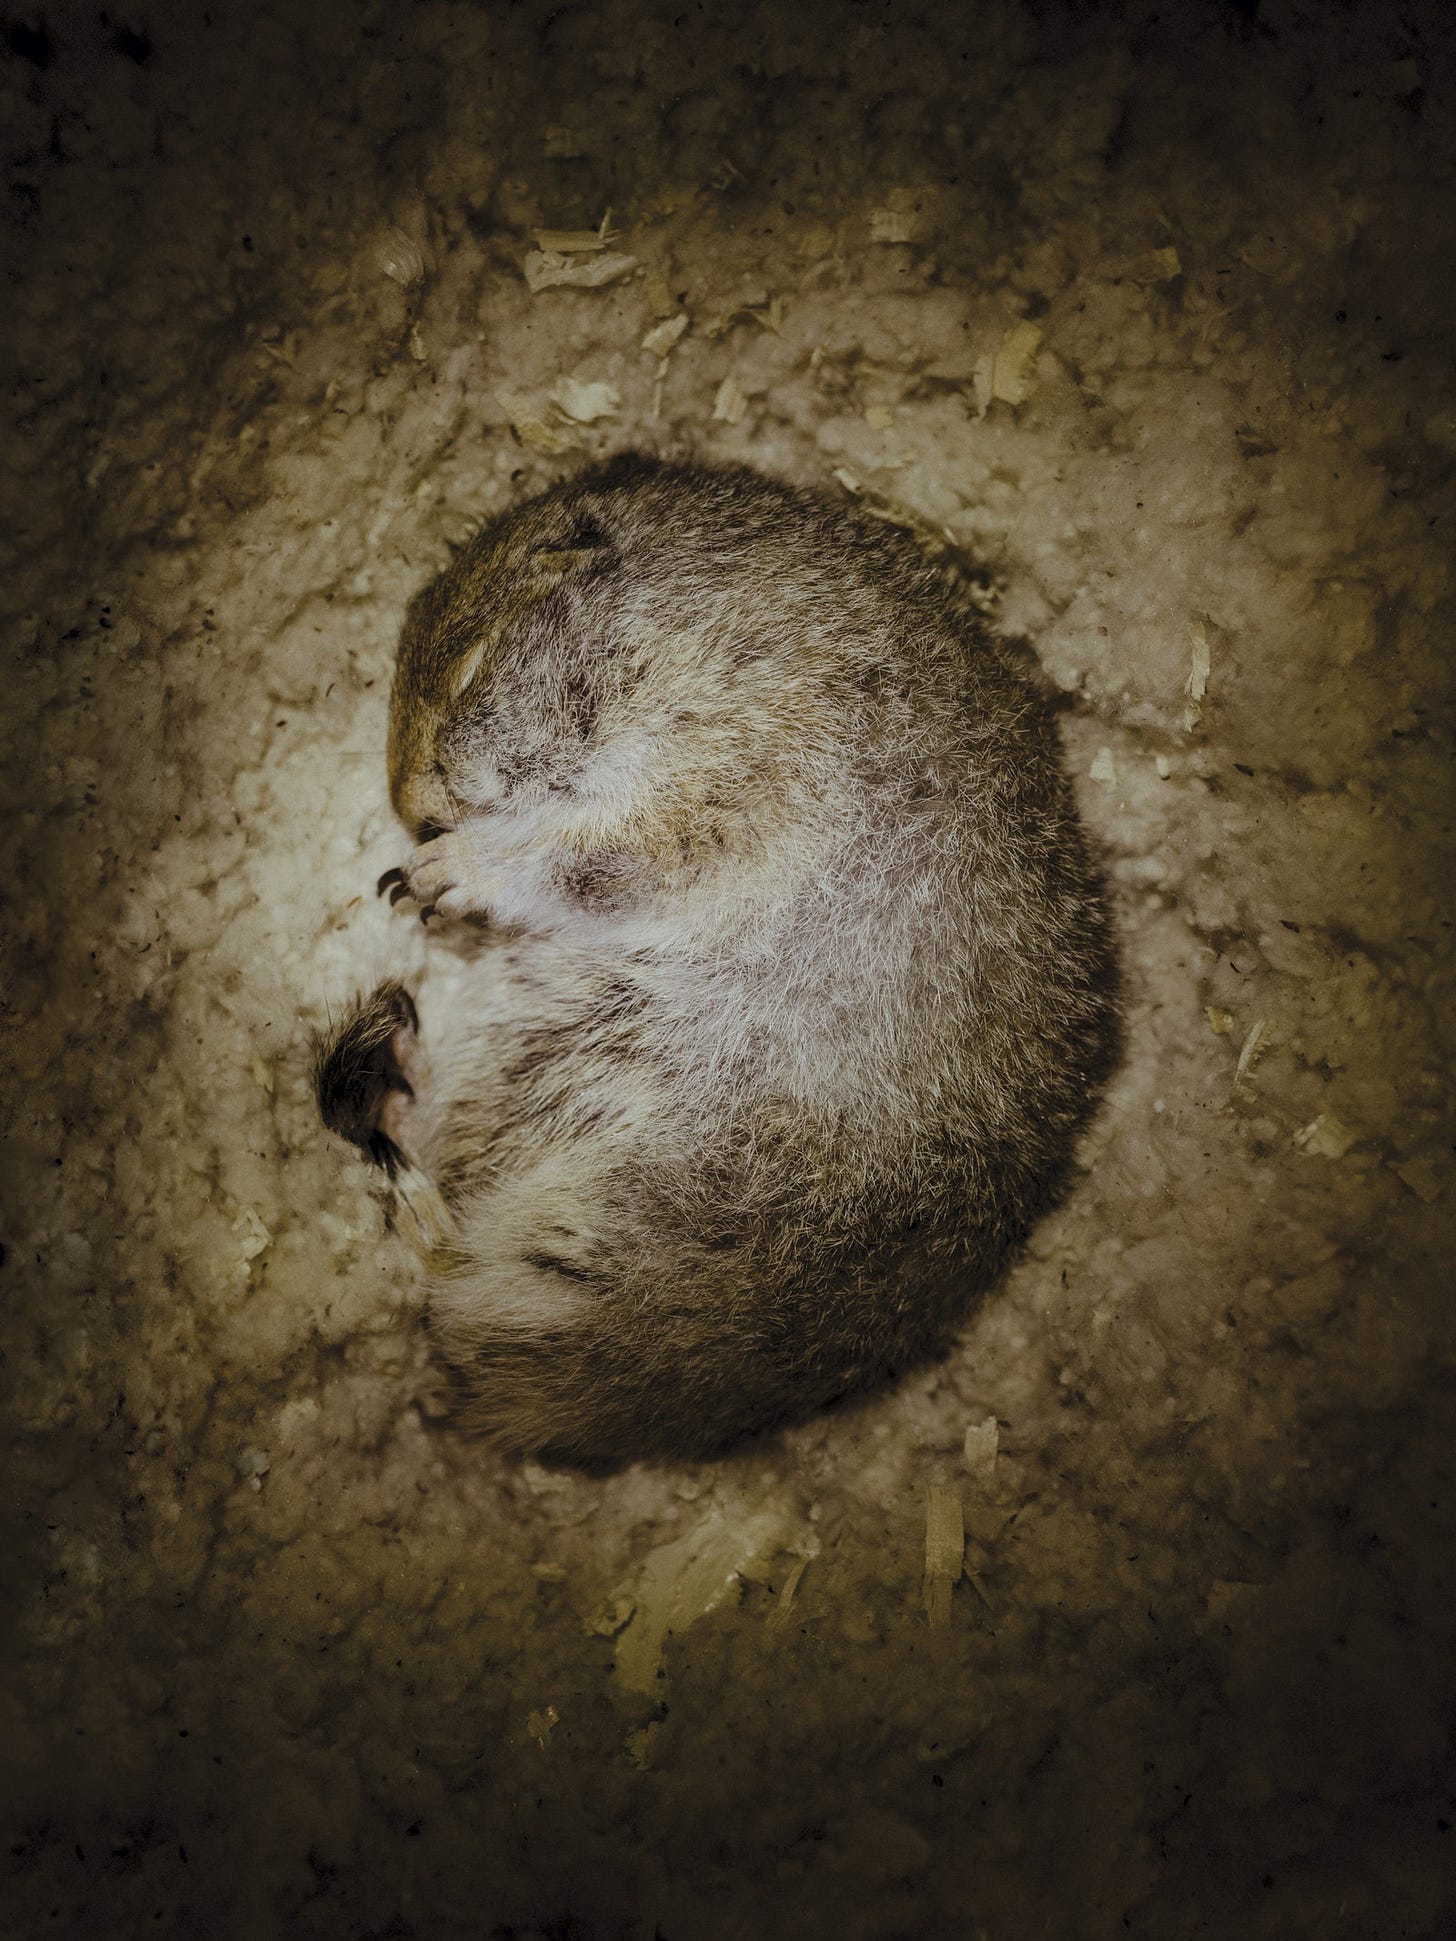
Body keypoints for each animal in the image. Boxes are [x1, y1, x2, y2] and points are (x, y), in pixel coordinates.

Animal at [314, 453, 1119, 1468]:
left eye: (467, 664)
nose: (410, 811)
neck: (691, 627)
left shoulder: (740, 758)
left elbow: (602, 856)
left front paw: (458, 869)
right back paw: (393, 1067)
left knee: (451, 1262)